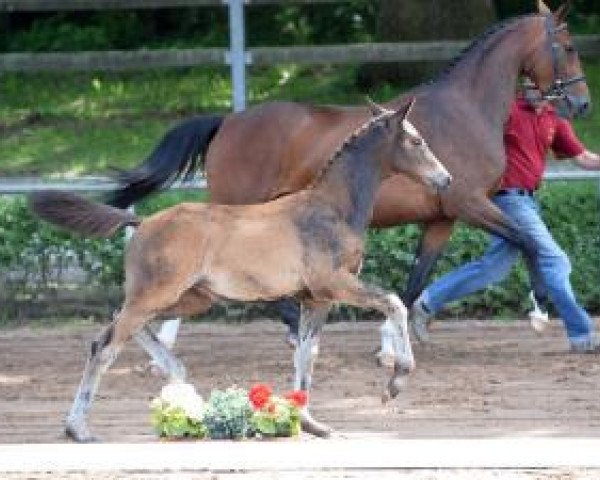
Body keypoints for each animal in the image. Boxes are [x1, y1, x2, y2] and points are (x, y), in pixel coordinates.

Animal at [29, 98, 450, 442]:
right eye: (416, 141)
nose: (445, 179)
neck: (332, 207)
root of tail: (142, 221)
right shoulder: (334, 283)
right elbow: (393, 301)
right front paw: (396, 381)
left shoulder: (316, 298)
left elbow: (307, 354)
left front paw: (309, 423)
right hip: (156, 294)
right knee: (105, 344)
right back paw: (78, 429)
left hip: (189, 299)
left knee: (125, 325)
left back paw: (174, 371)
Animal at [105, 1, 588, 356]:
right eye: (567, 45)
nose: (581, 104)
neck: (464, 109)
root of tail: (227, 121)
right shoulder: (468, 202)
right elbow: (526, 242)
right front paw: (540, 311)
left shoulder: (442, 217)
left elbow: (418, 278)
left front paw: (394, 339)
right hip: (239, 213)